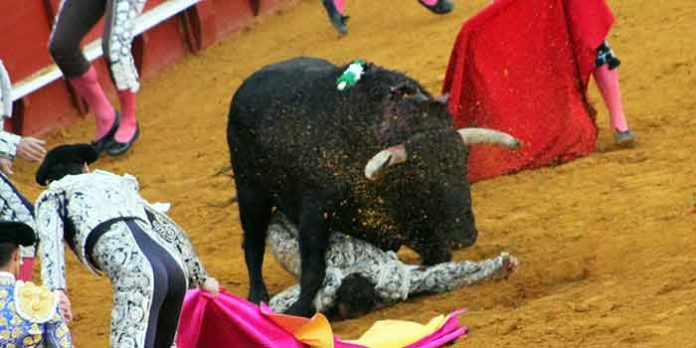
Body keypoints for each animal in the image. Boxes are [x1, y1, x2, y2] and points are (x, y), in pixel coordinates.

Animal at [226, 57, 520, 316]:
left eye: (464, 162)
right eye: (421, 175)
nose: (465, 235)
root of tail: (245, 87)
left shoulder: (409, 223)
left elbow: (438, 256)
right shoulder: (314, 212)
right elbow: (313, 271)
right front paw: (297, 310)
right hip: (251, 193)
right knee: (252, 244)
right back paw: (257, 296)